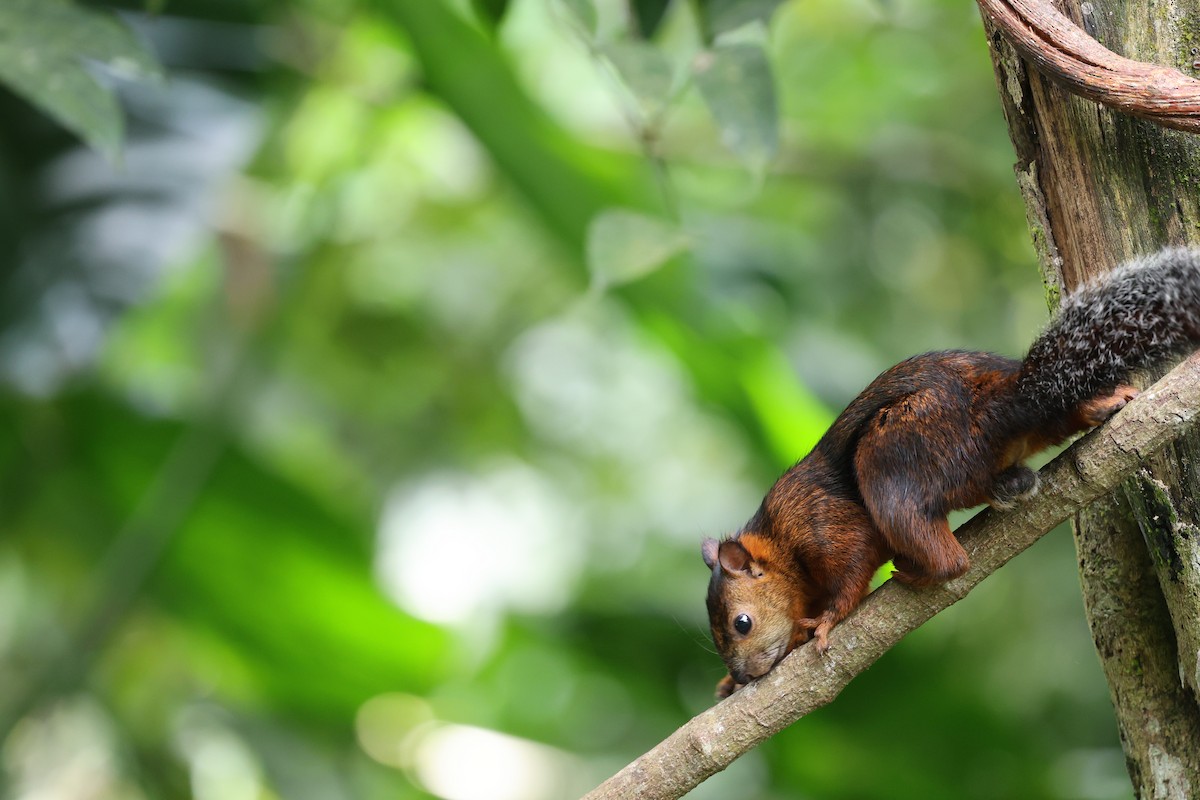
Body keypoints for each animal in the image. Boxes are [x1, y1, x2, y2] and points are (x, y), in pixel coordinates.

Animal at [703, 248, 1200, 698]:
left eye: (742, 623)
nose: (745, 674)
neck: (778, 541)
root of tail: (1003, 404)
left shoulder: (820, 524)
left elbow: (851, 570)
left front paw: (825, 622)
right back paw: (1097, 410)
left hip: (890, 455)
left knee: (952, 561)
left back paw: (919, 571)